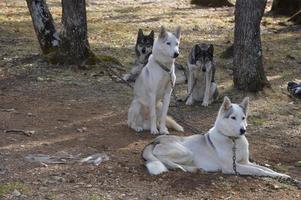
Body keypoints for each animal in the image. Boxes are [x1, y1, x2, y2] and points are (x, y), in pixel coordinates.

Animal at [142, 96, 290, 179]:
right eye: (233, 118)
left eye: (243, 118)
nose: (243, 130)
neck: (233, 140)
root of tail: (154, 141)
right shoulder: (232, 167)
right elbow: (258, 170)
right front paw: (273, 175)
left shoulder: (245, 162)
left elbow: (266, 169)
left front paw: (282, 176)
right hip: (186, 152)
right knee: (162, 160)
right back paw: (180, 167)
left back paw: (195, 169)